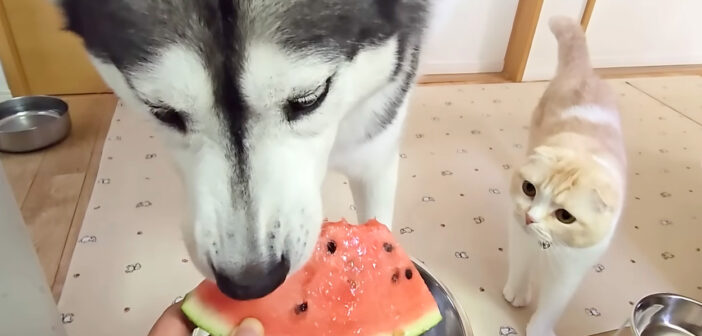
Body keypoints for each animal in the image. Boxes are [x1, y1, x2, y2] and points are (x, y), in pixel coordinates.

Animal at [506, 16, 628, 336]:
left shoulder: (572, 268)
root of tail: (585, 71)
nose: (530, 217)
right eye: (529, 189)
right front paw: (517, 293)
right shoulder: (518, 233)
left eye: (565, 216)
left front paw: (539, 329)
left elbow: (553, 303)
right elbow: (520, 265)